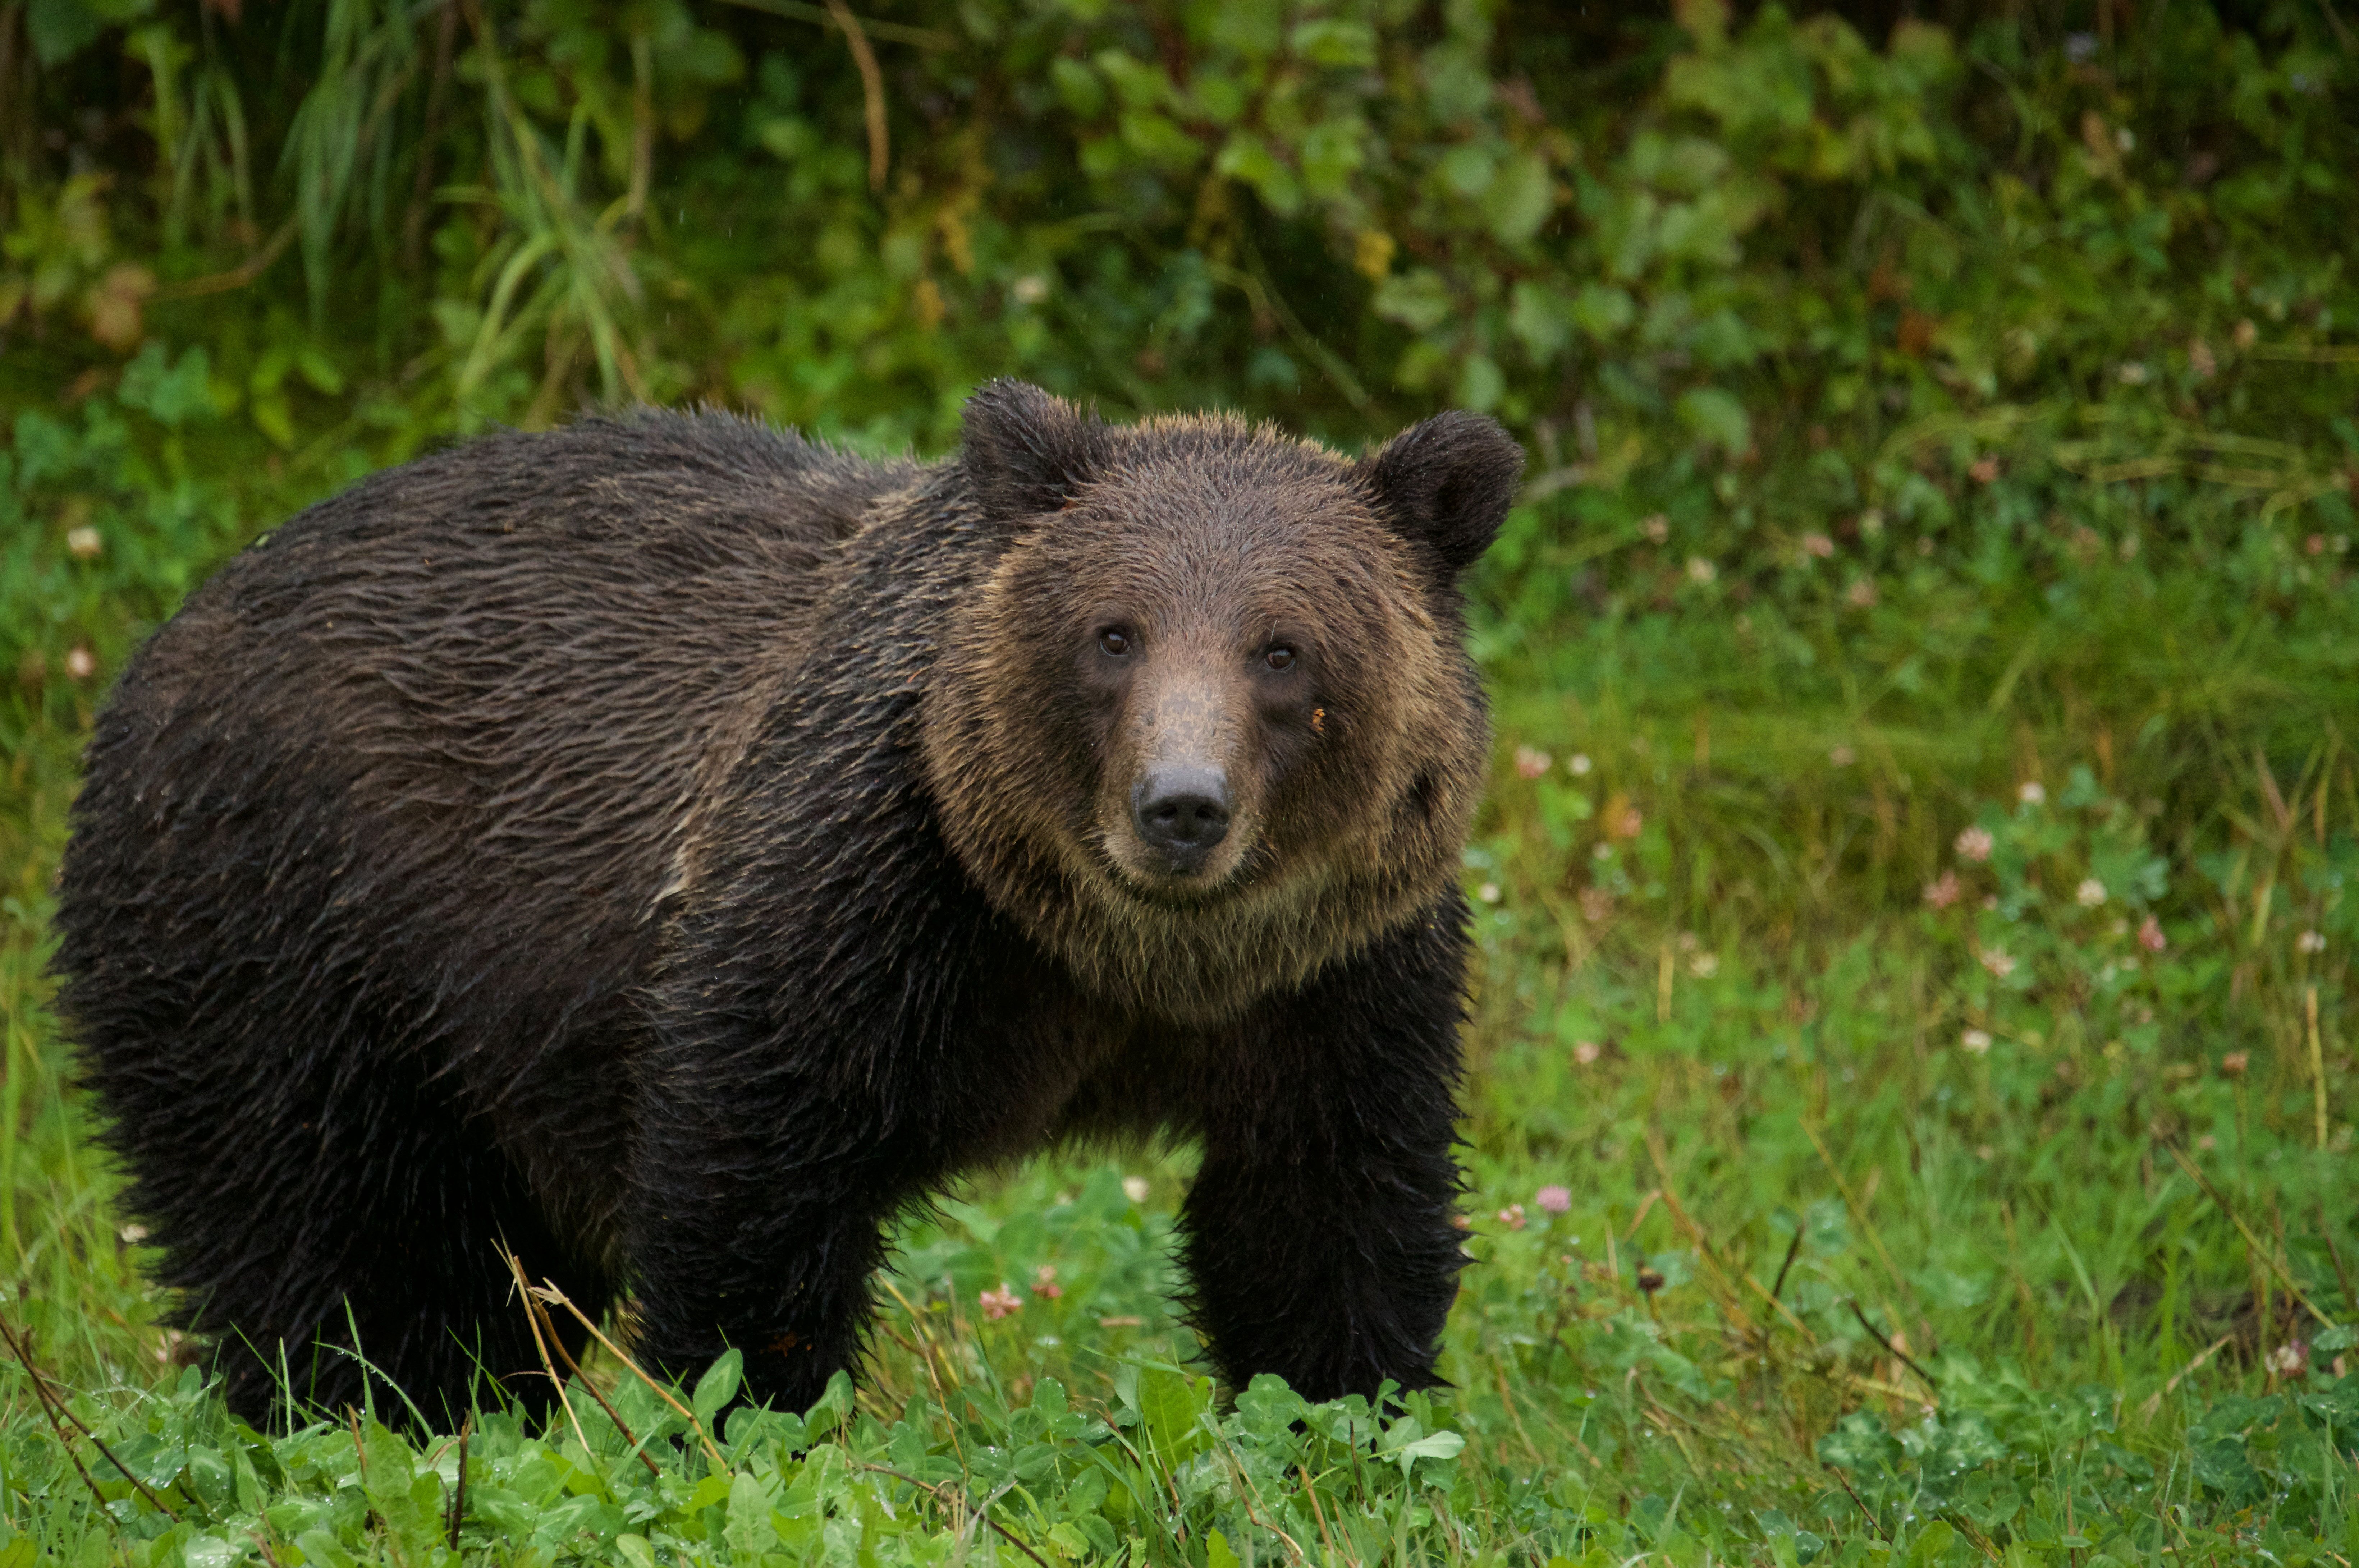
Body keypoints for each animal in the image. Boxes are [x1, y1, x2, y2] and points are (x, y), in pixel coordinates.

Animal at [60, 377, 1529, 1415]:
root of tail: (164, 636)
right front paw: (757, 1406)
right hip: (288, 928)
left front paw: (1350, 1415)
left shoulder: (1337, 972)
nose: (1180, 805)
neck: (1113, 962)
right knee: (334, 1239)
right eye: (1112, 633)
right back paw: (380, 1414)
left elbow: (1325, 1208)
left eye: (1284, 649)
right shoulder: (868, 890)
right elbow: (754, 1170)